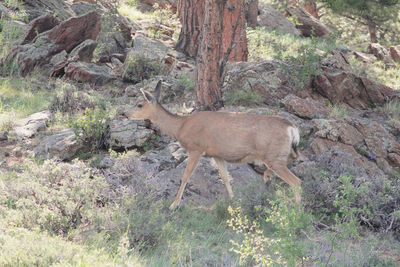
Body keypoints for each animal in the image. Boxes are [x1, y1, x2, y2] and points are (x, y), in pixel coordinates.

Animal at [123, 80, 302, 210]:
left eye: (139, 104)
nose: (124, 113)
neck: (180, 126)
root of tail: (292, 128)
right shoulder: (217, 154)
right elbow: (225, 177)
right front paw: (234, 201)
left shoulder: (196, 148)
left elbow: (185, 176)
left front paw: (174, 204)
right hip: (278, 154)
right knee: (294, 157)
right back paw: (267, 176)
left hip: (273, 155)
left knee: (296, 181)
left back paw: (297, 212)